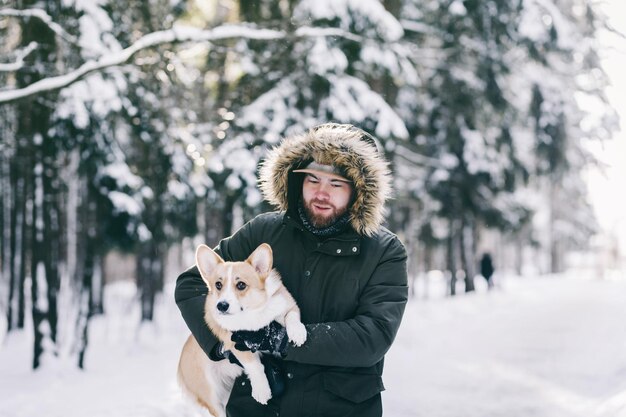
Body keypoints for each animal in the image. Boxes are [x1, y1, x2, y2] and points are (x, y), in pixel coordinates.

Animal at [177, 242, 306, 416]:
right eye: (218, 285)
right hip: (213, 398)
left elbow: (291, 317)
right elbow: (254, 365)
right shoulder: (235, 342)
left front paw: (297, 333)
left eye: (241, 285)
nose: (221, 306)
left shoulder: (288, 306)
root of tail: (179, 365)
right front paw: (262, 390)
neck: (253, 312)